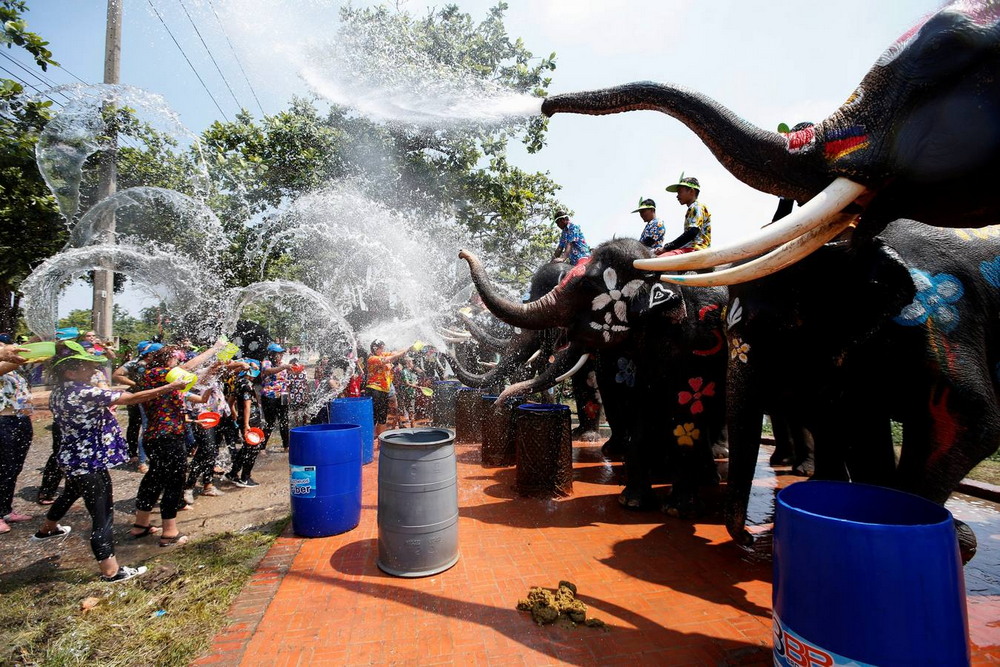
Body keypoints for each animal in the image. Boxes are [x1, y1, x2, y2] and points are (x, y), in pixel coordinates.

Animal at [458, 237, 728, 516]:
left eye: (586, 286)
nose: (461, 253)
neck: (654, 263)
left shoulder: (697, 338)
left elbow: (686, 406)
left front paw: (677, 510)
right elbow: (638, 399)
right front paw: (632, 501)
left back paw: (712, 469)